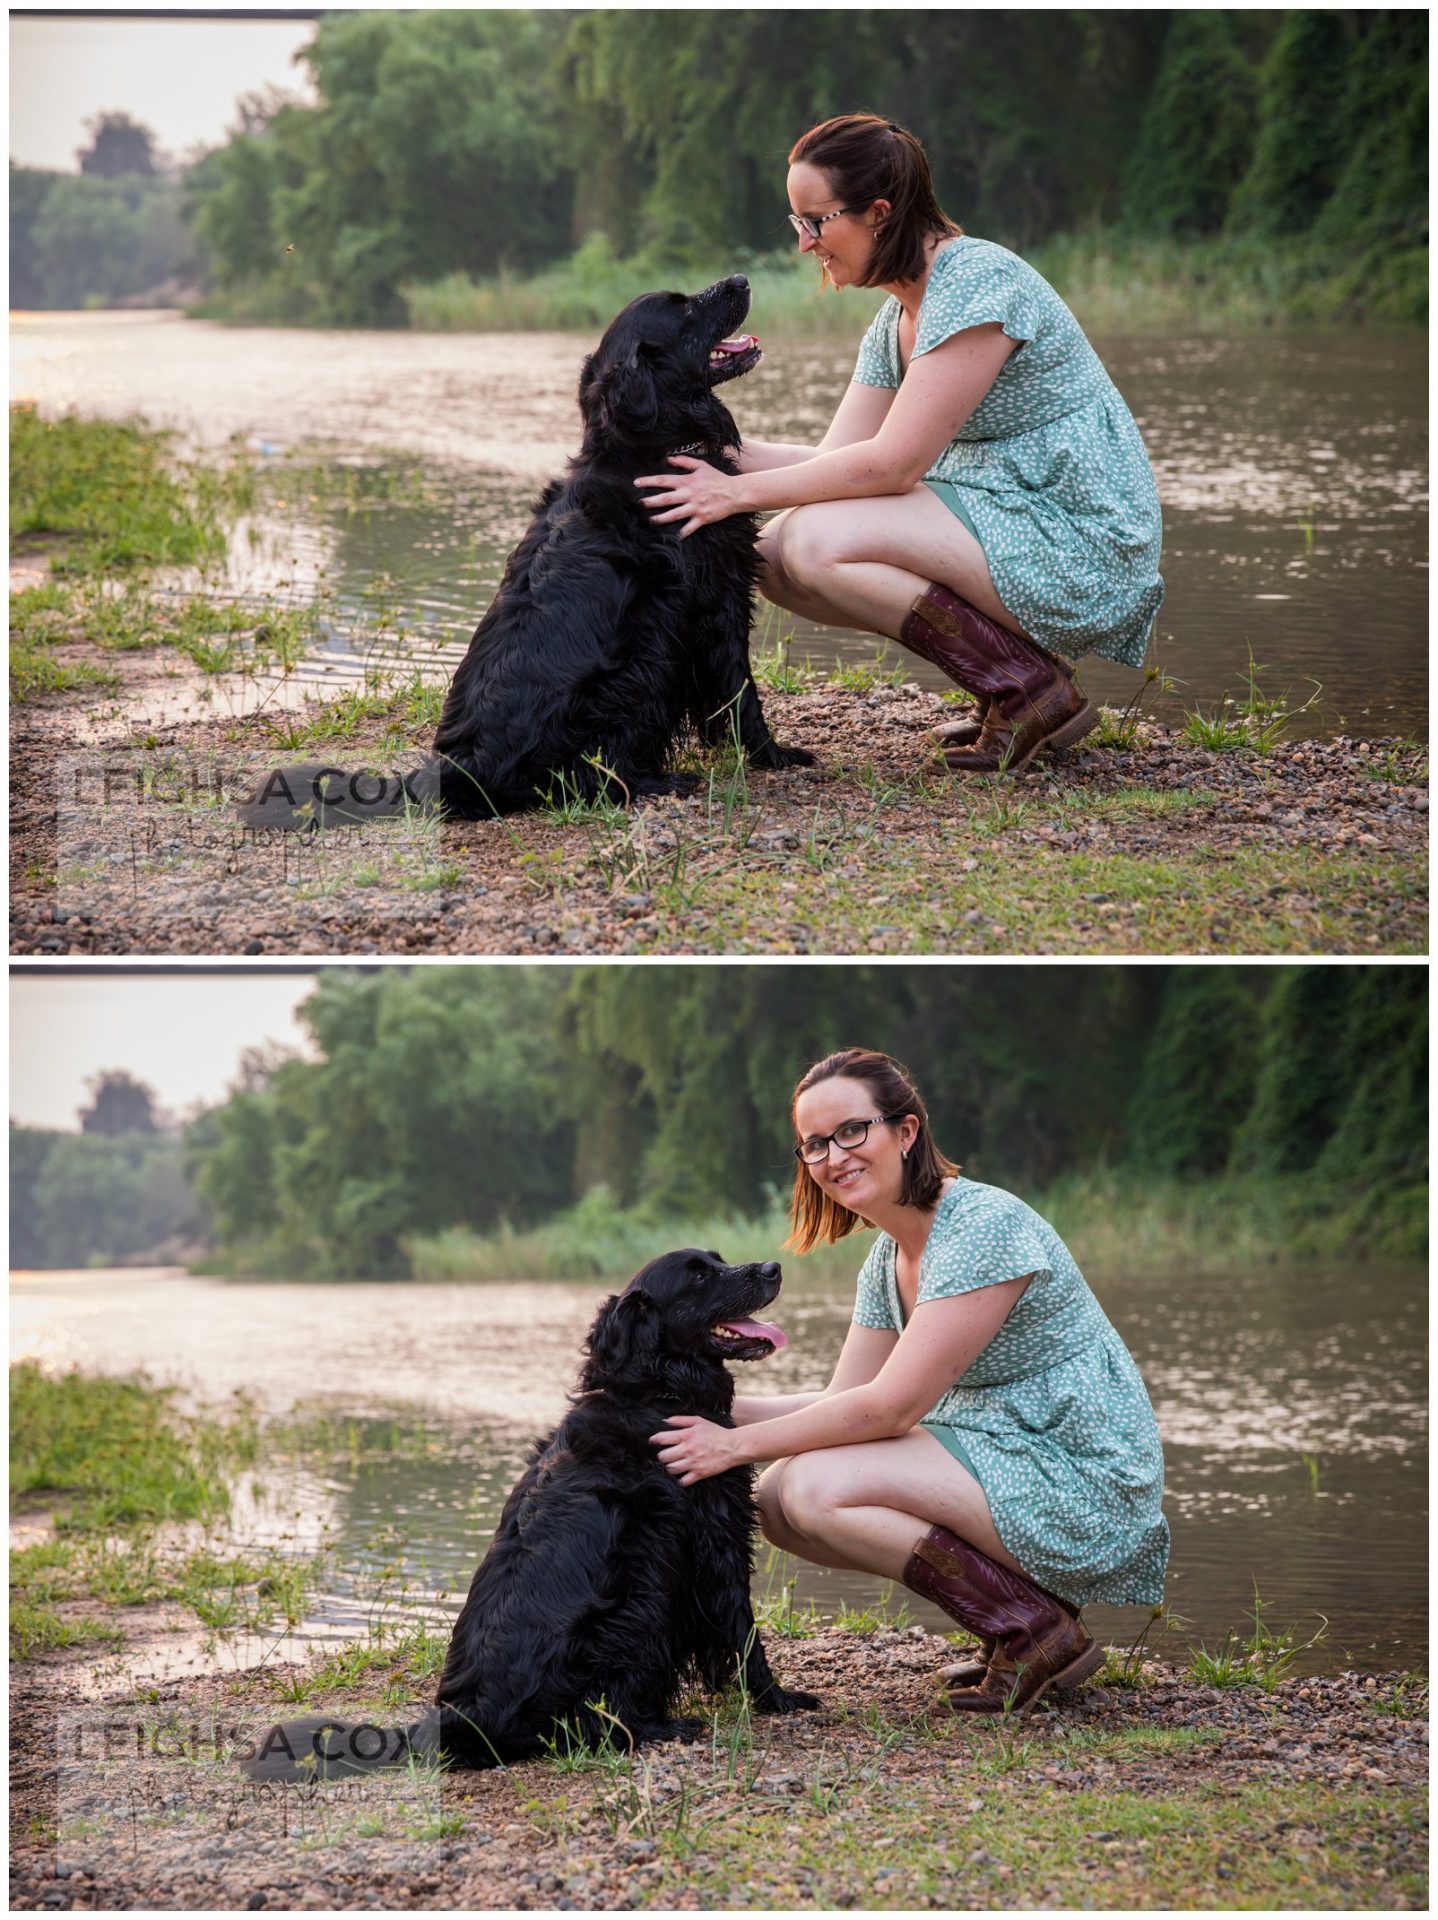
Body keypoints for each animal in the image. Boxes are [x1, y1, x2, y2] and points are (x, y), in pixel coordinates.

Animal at [240, 280, 814, 833]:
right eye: (684, 308)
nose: (741, 278)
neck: (647, 453)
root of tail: (453, 774)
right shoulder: (714, 604)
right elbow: (741, 692)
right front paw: (772, 754)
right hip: (638, 669)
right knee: (587, 776)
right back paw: (657, 781)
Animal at [240, 1251, 814, 1774]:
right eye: (698, 1276)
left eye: (718, 1259)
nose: (774, 1268)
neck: (653, 1393)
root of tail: (460, 1723)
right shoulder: (715, 1542)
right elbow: (743, 1634)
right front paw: (777, 1699)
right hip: (637, 1612)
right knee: (592, 1723)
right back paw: (661, 1726)